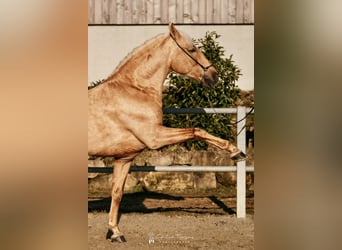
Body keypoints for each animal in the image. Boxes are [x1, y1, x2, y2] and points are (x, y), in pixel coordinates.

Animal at [87, 23, 243, 242]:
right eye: (192, 49)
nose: (214, 76)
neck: (135, 90)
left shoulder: (124, 158)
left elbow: (117, 193)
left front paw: (115, 232)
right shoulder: (155, 137)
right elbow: (197, 130)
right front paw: (237, 152)